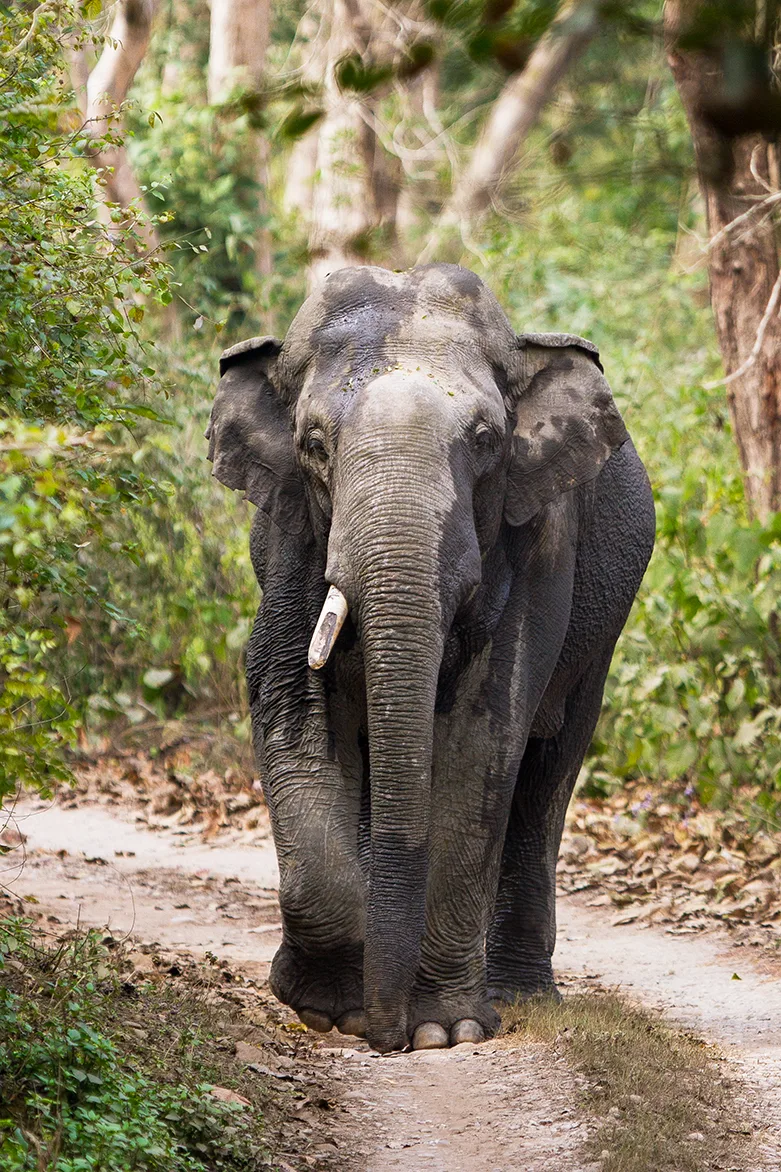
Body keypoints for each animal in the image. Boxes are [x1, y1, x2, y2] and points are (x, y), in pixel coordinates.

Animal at [206, 263, 655, 1055]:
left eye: (484, 440)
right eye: (312, 444)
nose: (385, 1038)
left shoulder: (540, 533)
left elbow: (485, 732)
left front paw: (446, 1030)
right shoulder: (292, 528)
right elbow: (286, 688)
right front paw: (327, 1010)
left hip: (602, 635)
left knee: (545, 773)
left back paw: (517, 994)